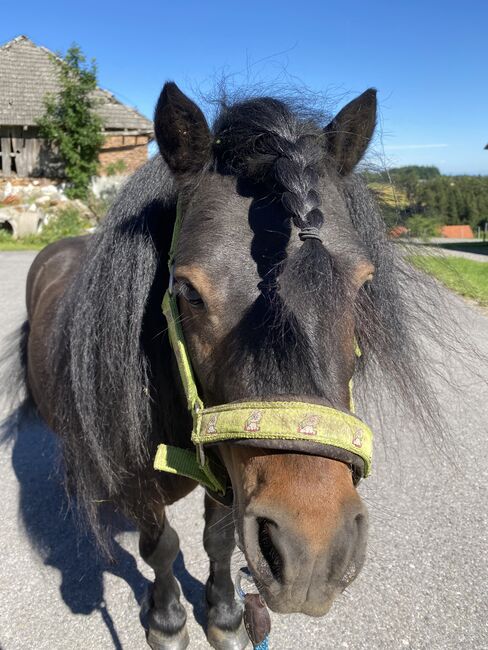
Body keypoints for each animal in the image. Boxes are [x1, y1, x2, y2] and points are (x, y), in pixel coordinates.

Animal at [19, 83, 438, 648]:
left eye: (365, 285)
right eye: (187, 291)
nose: (312, 555)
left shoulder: (230, 469)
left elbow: (217, 542)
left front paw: (223, 615)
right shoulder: (140, 490)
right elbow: (161, 547)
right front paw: (167, 621)